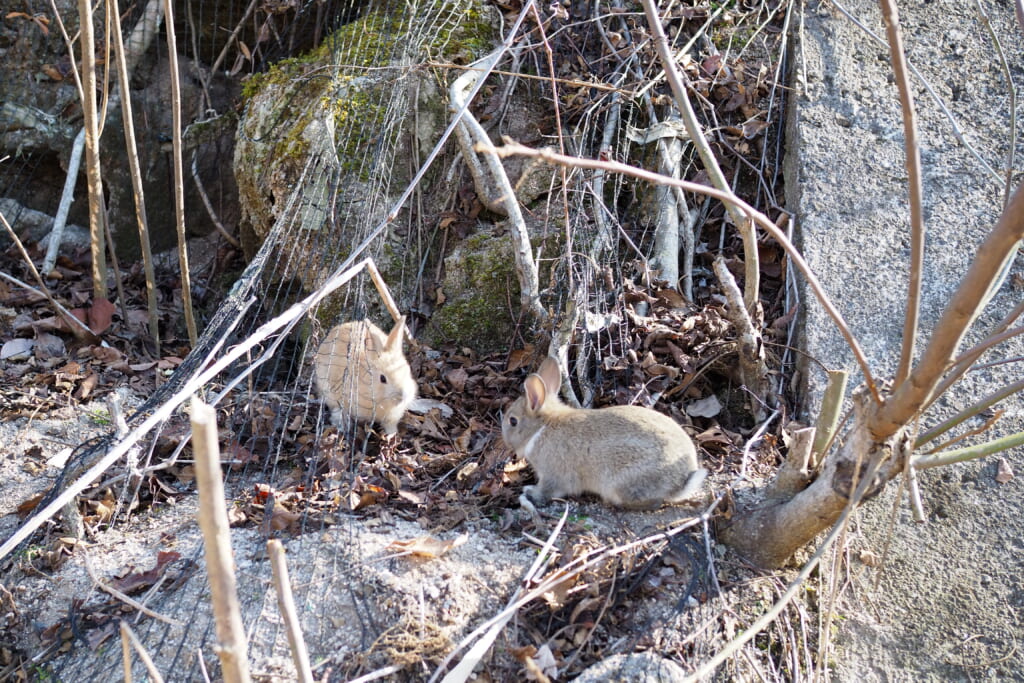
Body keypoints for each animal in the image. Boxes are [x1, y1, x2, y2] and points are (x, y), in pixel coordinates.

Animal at [501, 358, 708, 511]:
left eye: (513, 421)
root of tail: (681, 482)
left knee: (654, 502)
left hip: (621, 481)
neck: (542, 426)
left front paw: (530, 492)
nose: (504, 437)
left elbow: (547, 491)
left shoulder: (553, 475)